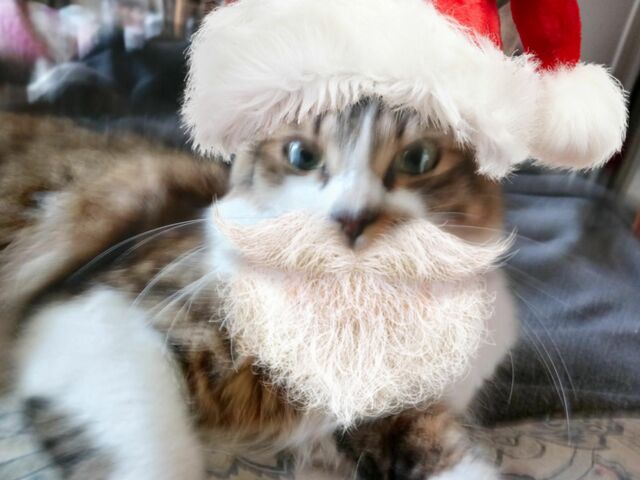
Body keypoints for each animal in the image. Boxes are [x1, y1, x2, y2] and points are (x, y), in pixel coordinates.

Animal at [1, 99, 517, 479]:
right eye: (301, 156)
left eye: (418, 159)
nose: (351, 219)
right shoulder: (99, 312)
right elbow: (156, 456)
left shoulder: (403, 414)